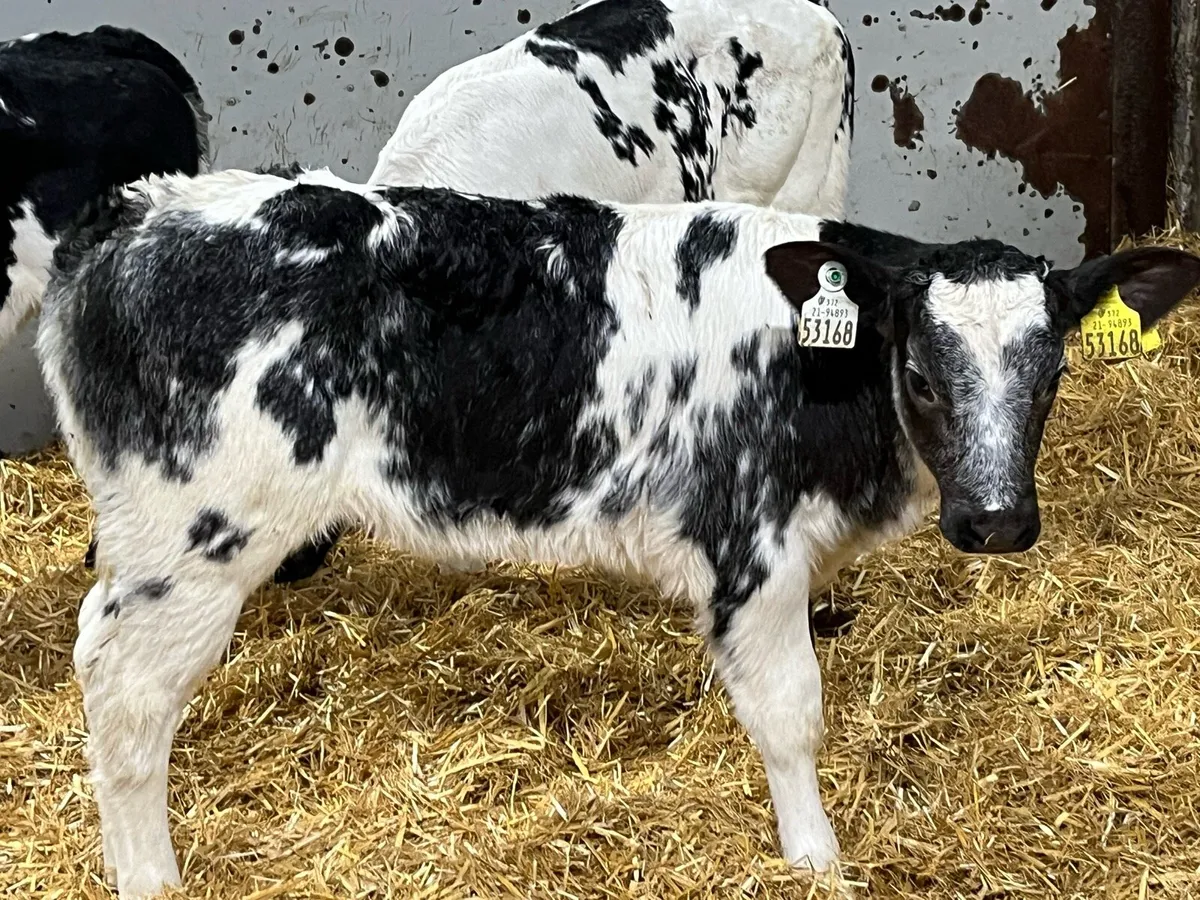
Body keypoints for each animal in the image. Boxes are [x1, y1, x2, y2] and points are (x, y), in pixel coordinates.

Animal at [41, 167, 1200, 897]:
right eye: (918, 369)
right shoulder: (752, 550)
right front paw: (817, 860)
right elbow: (791, 717)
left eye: (1052, 375)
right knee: (122, 690)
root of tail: (141, 208)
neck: (816, 364)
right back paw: (149, 878)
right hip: (194, 541)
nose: (997, 521)